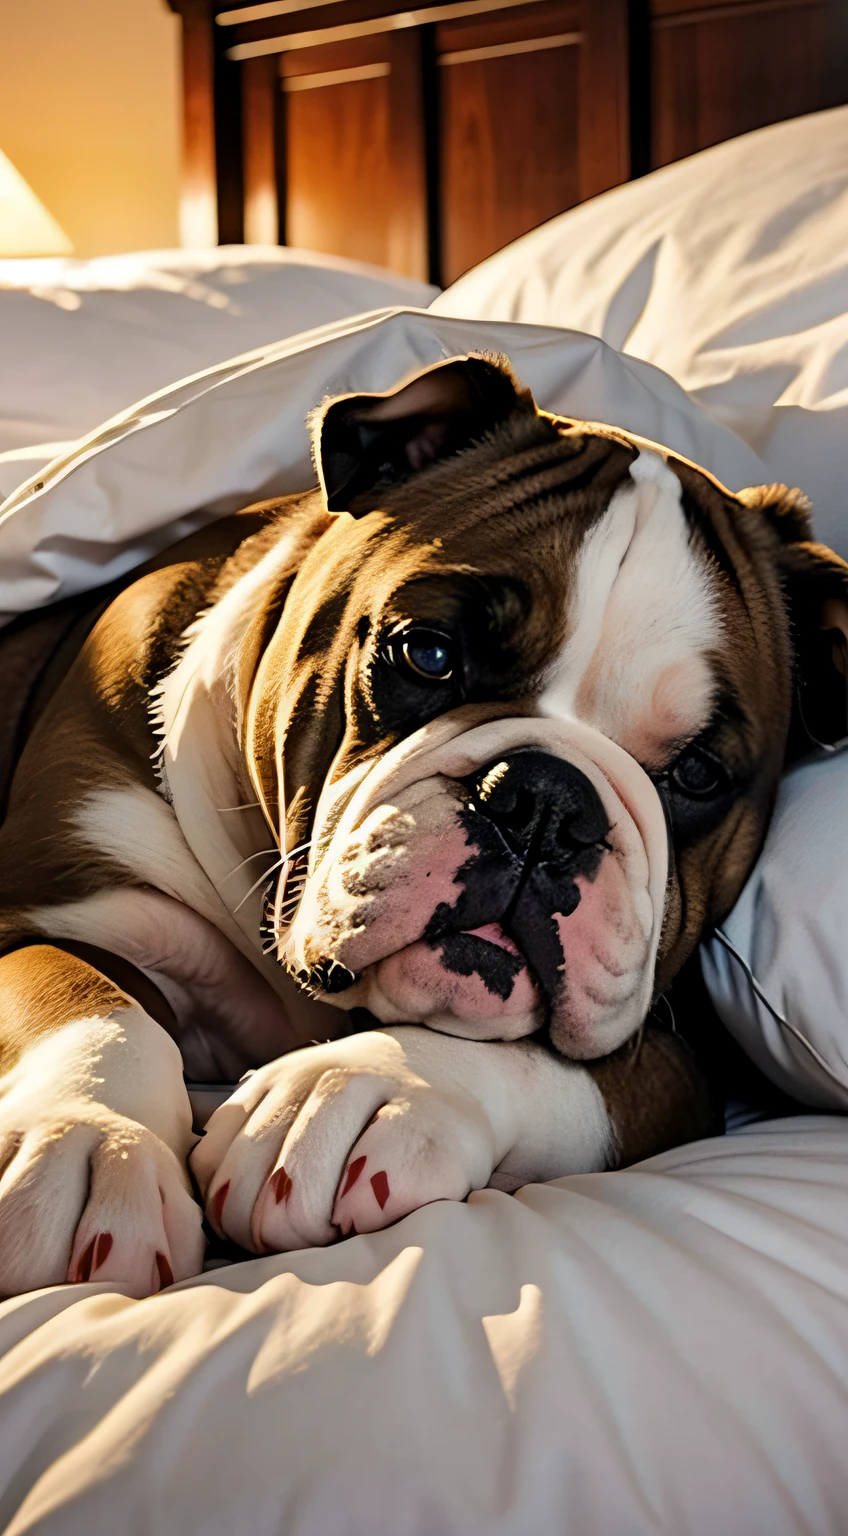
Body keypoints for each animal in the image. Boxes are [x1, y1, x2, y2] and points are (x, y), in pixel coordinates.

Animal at [1, 356, 848, 1296]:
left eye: (698, 773)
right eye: (429, 654)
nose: (546, 802)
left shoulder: (678, 1055)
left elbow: (560, 1067)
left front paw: (358, 1089)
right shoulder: (49, 913)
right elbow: (82, 994)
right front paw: (91, 1142)